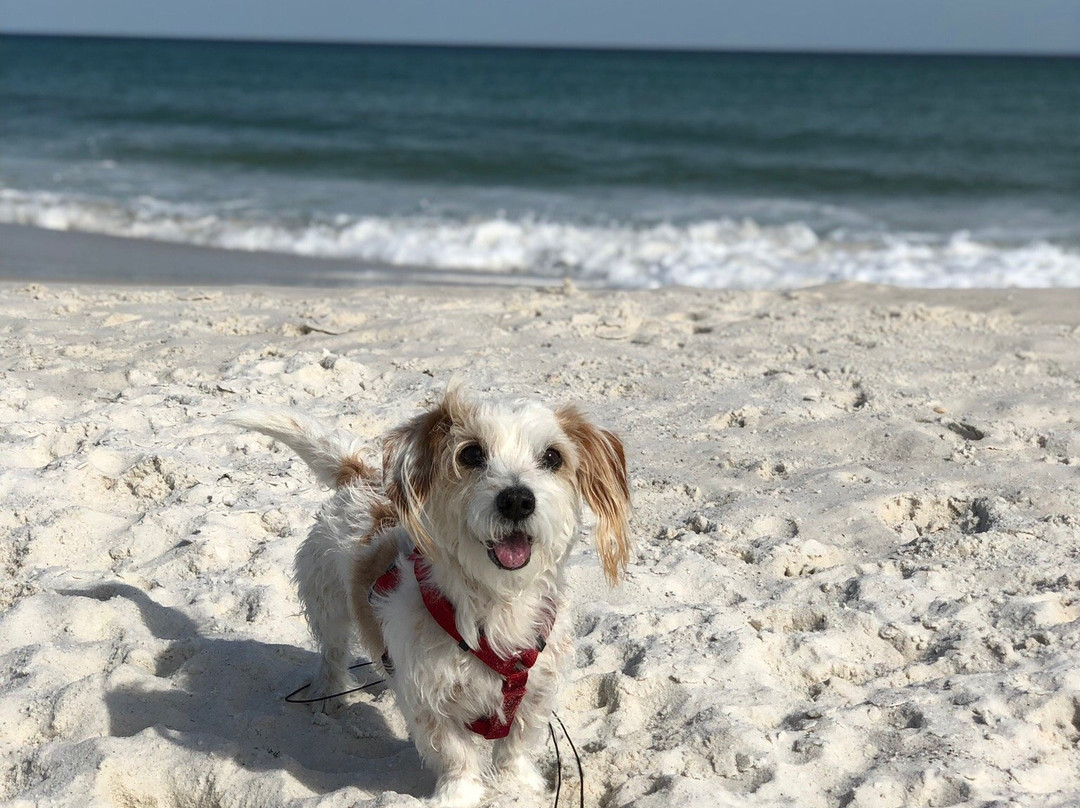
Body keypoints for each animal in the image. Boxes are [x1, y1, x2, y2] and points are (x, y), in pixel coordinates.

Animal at [230, 388, 630, 803]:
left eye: (552, 457)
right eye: (471, 454)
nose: (517, 500)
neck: (496, 605)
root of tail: (361, 475)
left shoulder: (536, 691)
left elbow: (516, 743)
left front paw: (516, 784)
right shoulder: (427, 699)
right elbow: (455, 753)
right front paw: (458, 795)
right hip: (327, 604)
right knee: (332, 654)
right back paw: (328, 696)